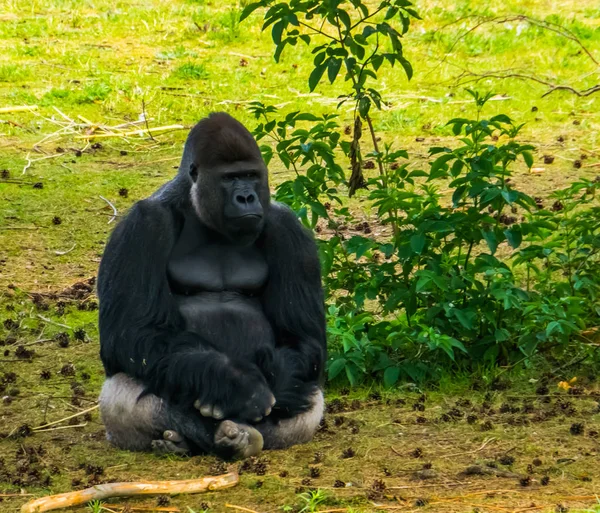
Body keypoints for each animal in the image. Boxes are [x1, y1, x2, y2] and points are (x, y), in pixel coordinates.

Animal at [96, 113, 326, 460]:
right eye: (230, 179)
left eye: (250, 175)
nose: (246, 197)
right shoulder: (142, 225)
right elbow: (130, 332)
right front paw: (234, 383)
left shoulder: (289, 230)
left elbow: (302, 339)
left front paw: (274, 381)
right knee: (122, 393)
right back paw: (186, 440)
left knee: (309, 397)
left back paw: (242, 437)